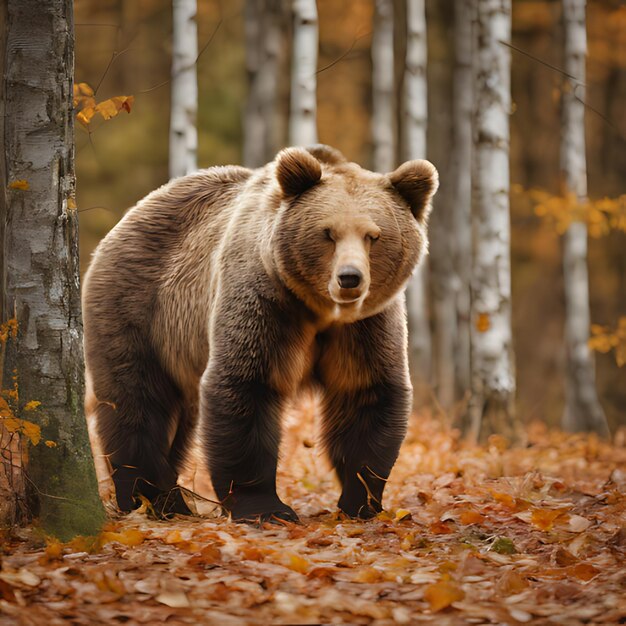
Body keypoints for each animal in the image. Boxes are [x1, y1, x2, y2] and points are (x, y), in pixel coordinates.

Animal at [80, 144, 436, 520]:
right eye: (327, 233)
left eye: (374, 236)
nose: (350, 278)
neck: (320, 310)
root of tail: (131, 213)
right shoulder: (265, 299)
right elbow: (246, 384)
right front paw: (266, 508)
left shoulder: (364, 325)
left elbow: (365, 391)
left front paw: (361, 502)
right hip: (139, 308)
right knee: (138, 400)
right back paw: (149, 499)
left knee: (180, 419)